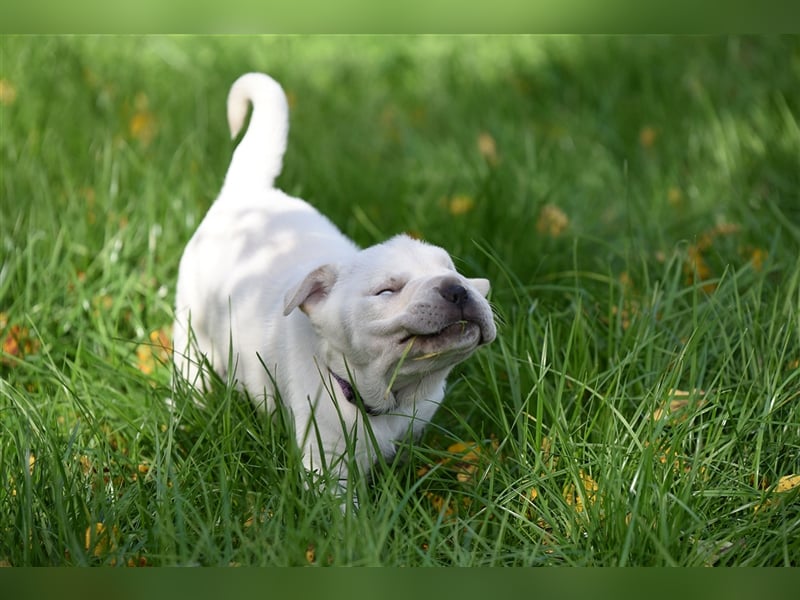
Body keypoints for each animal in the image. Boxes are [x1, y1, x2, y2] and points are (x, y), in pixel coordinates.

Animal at [175, 72, 494, 490]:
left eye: (453, 271)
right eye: (387, 290)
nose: (457, 289)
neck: (384, 398)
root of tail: (247, 193)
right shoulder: (326, 461)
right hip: (191, 327)